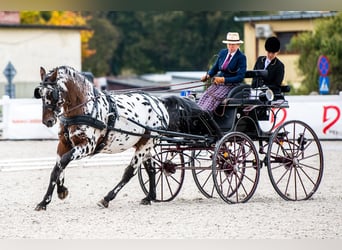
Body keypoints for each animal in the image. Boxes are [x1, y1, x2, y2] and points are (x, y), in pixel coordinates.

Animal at [33, 65, 203, 210]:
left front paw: (50, 198)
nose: (48, 121)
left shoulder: (87, 146)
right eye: (40, 93)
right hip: (145, 144)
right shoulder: (64, 144)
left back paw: (107, 198)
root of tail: (159, 102)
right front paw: (54, 195)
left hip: (146, 144)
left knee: (130, 171)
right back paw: (149, 197)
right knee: (151, 169)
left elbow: (62, 163)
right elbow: (58, 167)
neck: (83, 108)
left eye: (52, 93)